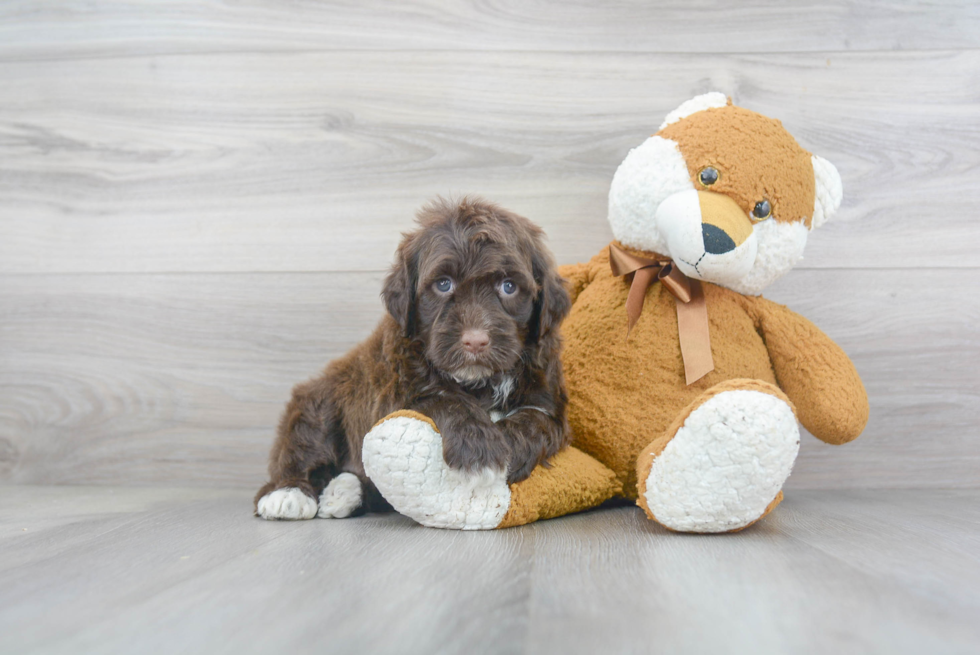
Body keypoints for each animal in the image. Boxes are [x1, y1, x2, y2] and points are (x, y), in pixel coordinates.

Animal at [255, 197, 576, 520]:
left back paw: (343, 493)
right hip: (320, 400)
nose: (475, 341)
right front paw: (480, 450)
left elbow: (535, 421)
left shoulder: (549, 401)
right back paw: (287, 493)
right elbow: (443, 398)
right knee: (303, 445)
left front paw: (507, 447)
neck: (480, 382)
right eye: (443, 284)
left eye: (509, 286)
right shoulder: (395, 393)